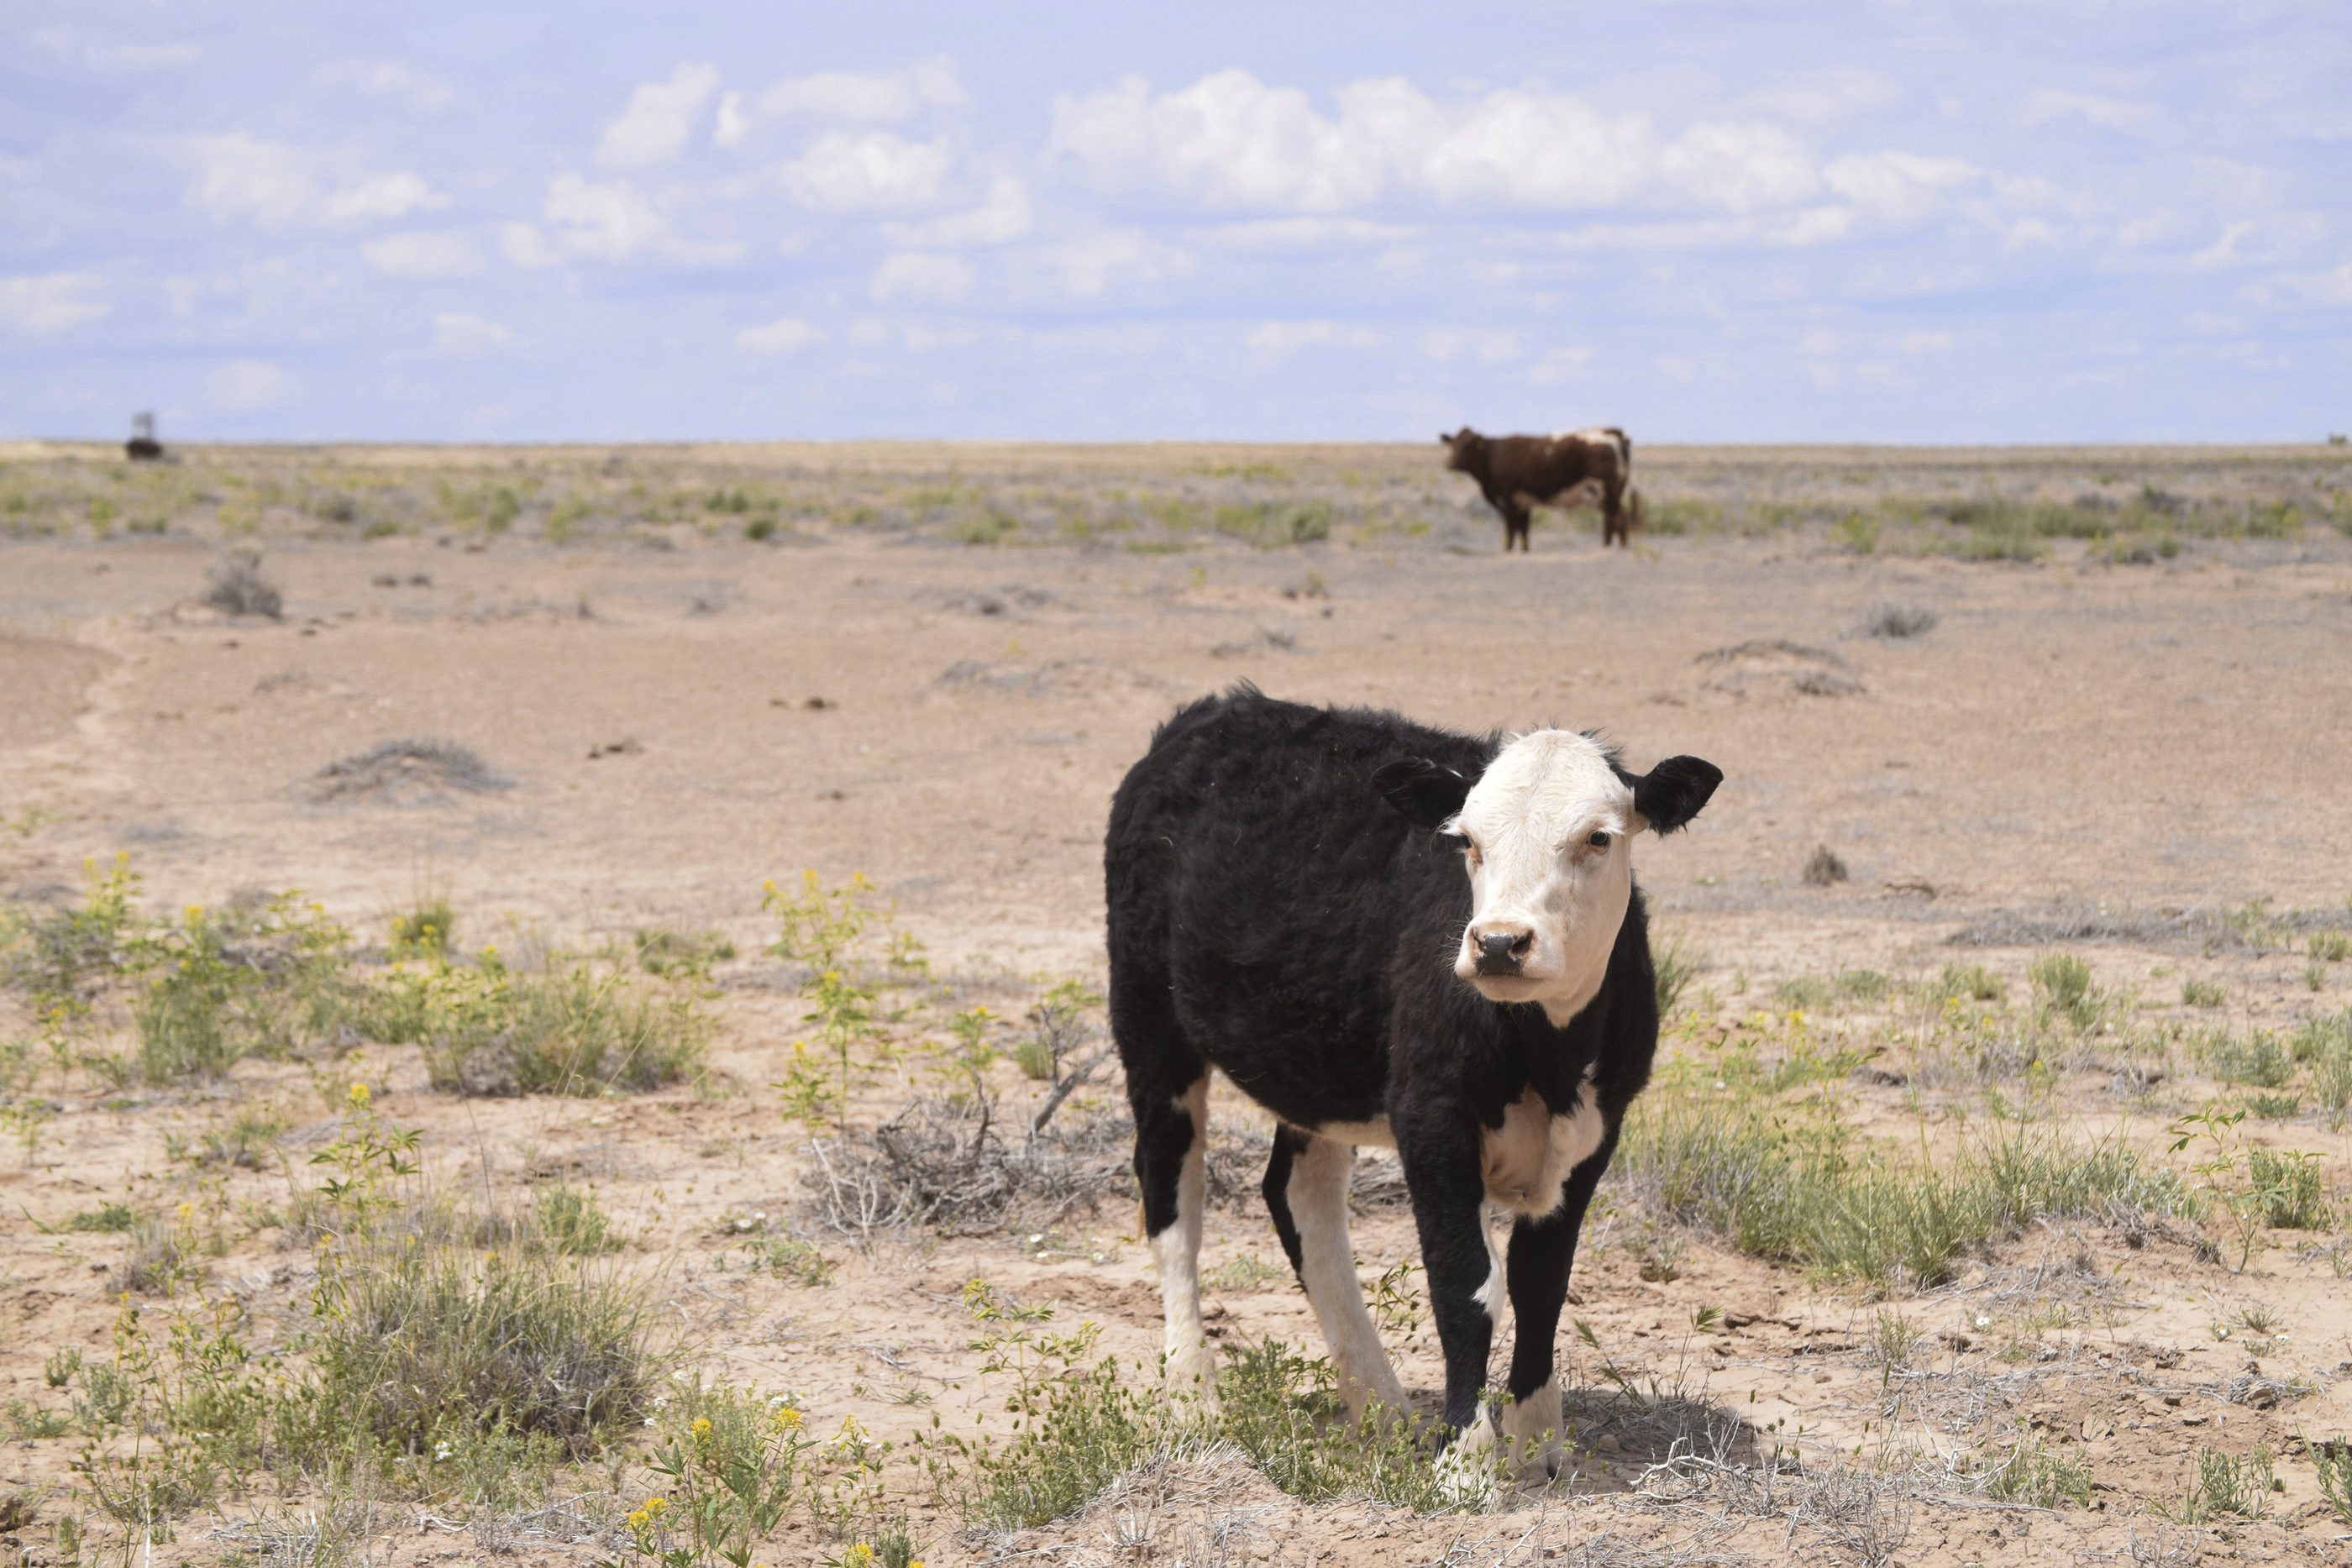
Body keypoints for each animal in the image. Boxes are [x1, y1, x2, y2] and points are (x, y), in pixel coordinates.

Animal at [1105, 687, 1721, 1492]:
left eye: (1598, 837)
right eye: (1466, 840)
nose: (1498, 943)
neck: (1547, 1057)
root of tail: (1215, 712)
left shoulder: (1598, 1129)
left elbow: (1541, 1281)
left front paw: (1536, 1441)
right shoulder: (1432, 1120)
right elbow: (1466, 1284)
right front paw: (1466, 1457)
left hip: (1317, 1071)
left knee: (1299, 1199)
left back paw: (1382, 1407)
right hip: (1151, 1025)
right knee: (1172, 1198)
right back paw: (1194, 1396)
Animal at [1441, 427, 1636, 551]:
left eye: (1467, 445)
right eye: (1453, 444)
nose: (1450, 463)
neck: (1492, 454)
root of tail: (1612, 432)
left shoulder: (1507, 500)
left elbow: (1511, 529)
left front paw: (1508, 550)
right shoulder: (1523, 503)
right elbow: (1524, 530)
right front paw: (1525, 550)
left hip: (1606, 490)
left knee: (1617, 516)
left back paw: (1613, 547)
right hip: (1604, 493)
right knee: (1613, 517)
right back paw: (1610, 546)